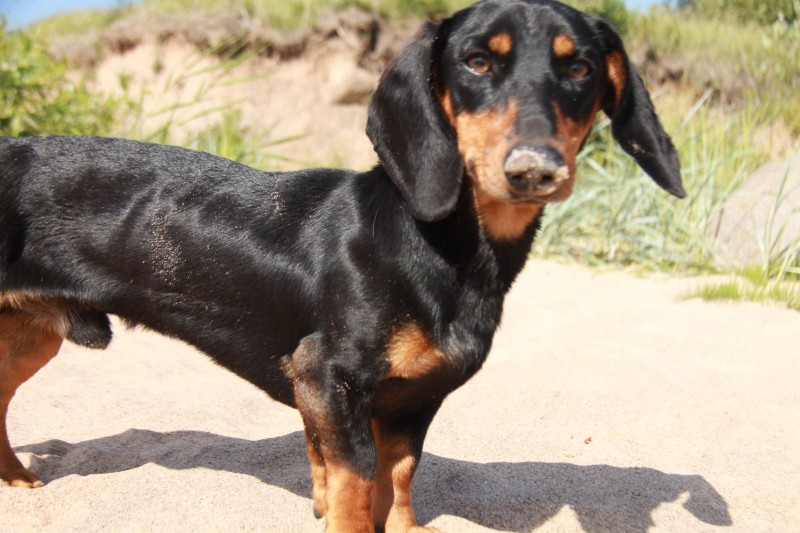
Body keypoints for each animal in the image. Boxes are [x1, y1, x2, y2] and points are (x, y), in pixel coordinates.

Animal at [0, 0, 684, 531]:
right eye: (476, 61)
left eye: (580, 67)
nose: (534, 168)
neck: (435, 247)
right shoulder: (328, 377)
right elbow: (355, 485)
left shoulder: (411, 402)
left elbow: (397, 481)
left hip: (28, 339)